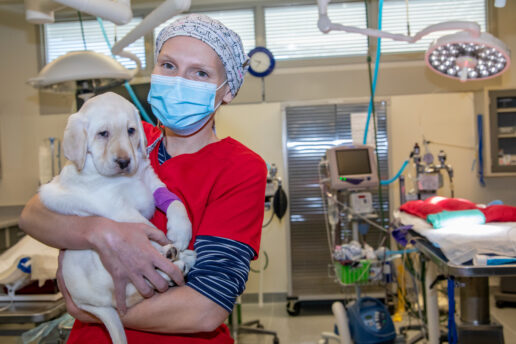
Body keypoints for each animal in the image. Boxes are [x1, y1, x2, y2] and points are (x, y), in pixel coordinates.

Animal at [38, 92, 196, 344]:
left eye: (131, 130)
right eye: (103, 133)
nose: (124, 162)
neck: (124, 179)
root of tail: (90, 305)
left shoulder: (150, 182)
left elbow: (176, 203)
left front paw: (181, 232)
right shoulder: (117, 207)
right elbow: (146, 230)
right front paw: (166, 246)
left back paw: (183, 260)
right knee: (133, 289)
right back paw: (173, 260)